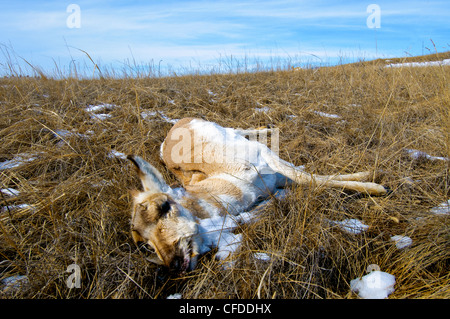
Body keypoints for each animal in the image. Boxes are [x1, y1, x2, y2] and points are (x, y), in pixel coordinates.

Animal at [126, 117, 386, 272]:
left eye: (164, 206)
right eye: (143, 243)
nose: (173, 264)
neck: (225, 176)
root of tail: (171, 131)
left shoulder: (267, 156)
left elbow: (309, 176)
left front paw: (374, 182)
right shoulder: (277, 179)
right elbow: (312, 179)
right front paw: (370, 179)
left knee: (239, 129)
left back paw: (267, 128)